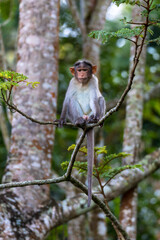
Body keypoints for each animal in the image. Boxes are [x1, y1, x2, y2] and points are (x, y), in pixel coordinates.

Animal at [58, 60, 105, 206]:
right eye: (79, 70)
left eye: (85, 69)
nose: (82, 74)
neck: (83, 83)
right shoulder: (72, 82)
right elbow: (67, 100)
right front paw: (61, 119)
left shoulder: (94, 80)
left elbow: (95, 99)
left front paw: (96, 116)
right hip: (74, 116)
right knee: (72, 101)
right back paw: (80, 121)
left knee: (101, 99)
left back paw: (94, 120)